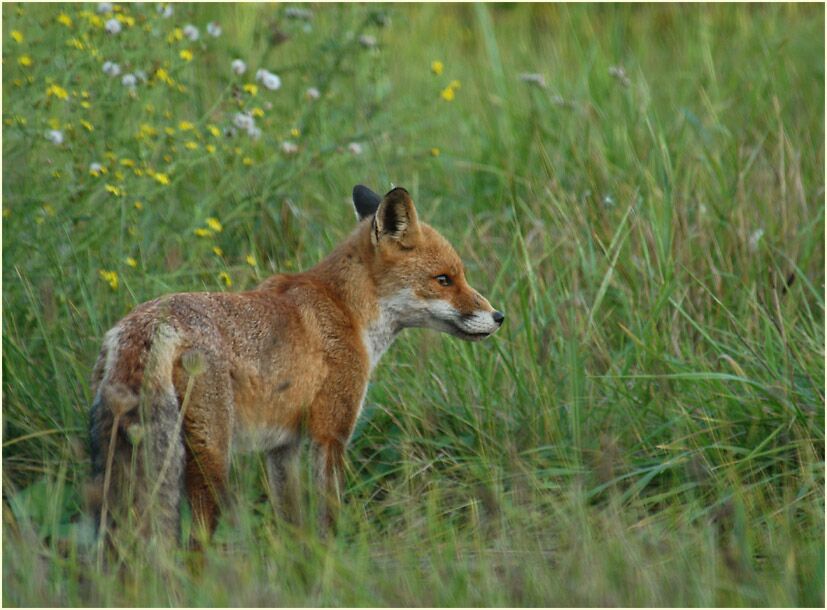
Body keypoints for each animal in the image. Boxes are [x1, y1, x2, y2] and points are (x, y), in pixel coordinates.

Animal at [87, 185, 504, 545]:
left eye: (458, 276)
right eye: (444, 280)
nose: (499, 317)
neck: (348, 312)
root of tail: (150, 323)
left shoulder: (282, 447)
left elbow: (292, 525)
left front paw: (300, 570)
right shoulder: (330, 434)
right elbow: (328, 518)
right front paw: (332, 564)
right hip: (211, 460)